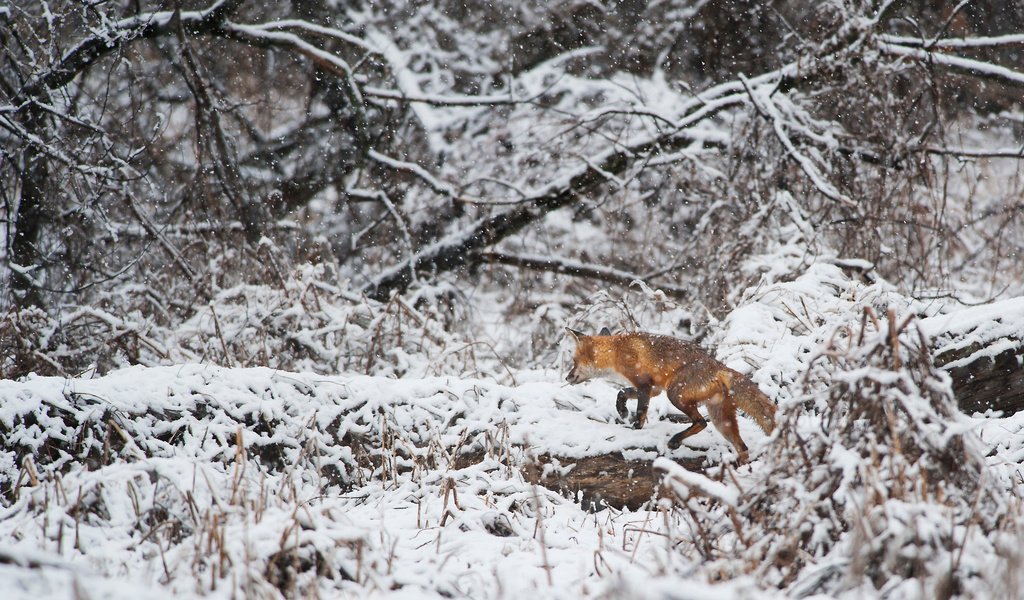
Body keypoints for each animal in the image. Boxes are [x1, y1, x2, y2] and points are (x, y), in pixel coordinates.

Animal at [561, 327, 774, 458]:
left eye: (574, 361)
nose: (567, 377)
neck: (617, 350)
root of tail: (720, 367)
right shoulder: (653, 388)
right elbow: (622, 392)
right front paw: (622, 410)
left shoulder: (644, 385)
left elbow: (640, 412)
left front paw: (634, 428)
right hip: (721, 420)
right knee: (742, 448)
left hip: (675, 395)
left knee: (701, 422)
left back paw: (675, 440)